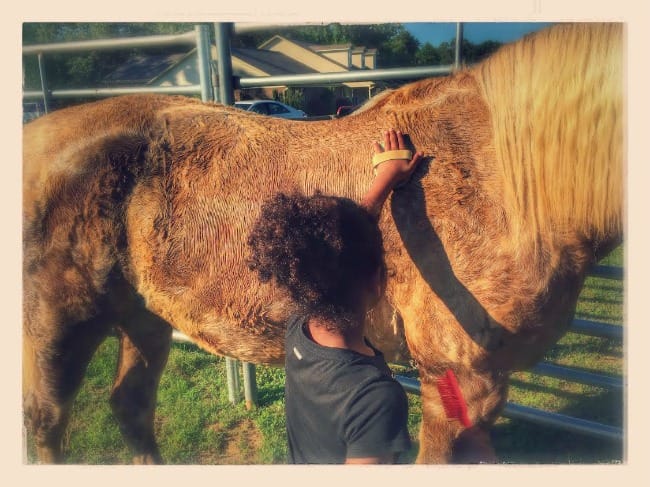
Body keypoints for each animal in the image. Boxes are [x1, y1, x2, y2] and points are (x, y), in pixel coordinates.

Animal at [22, 22, 623, 463]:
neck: (497, 171)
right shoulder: (461, 384)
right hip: (59, 324)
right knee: (47, 421)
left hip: (142, 314)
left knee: (131, 407)